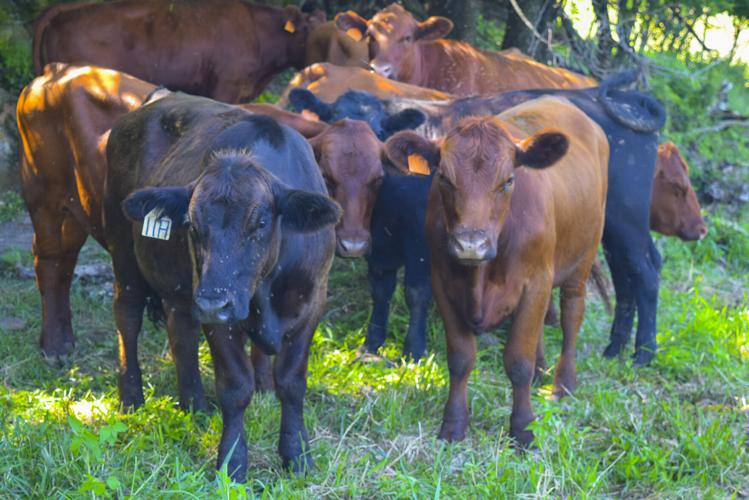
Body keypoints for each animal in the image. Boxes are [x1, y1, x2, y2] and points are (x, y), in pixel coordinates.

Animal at [104, 93, 340, 480]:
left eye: (261, 222)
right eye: (192, 224)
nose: (214, 303)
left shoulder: (312, 304)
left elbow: (291, 383)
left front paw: (297, 456)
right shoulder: (219, 319)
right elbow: (235, 387)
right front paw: (232, 462)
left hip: (181, 289)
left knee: (181, 332)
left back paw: (195, 406)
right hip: (124, 251)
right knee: (127, 316)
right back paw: (132, 398)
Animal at [290, 70, 676, 365]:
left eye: (379, 129)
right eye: (331, 122)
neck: (386, 206)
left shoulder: (420, 242)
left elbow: (416, 292)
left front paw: (413, 351)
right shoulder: (381, 245)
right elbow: (381, 289)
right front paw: (371, 345)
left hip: (627, 218)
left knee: (645, 269)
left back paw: (643, 352)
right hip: (609, 225)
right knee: (626, 273)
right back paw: (615, 347)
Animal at [383, 96, 608, 445]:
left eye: (508, 181)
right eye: (443, 178)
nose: (470, 244)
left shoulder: (535, 281)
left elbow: (518, 361)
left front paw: (524, 429)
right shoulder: (443, 282)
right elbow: (460, 359)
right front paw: (453, 425)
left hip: (581, 260)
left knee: (571, 314)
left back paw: (563, 383)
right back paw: (543, 370)